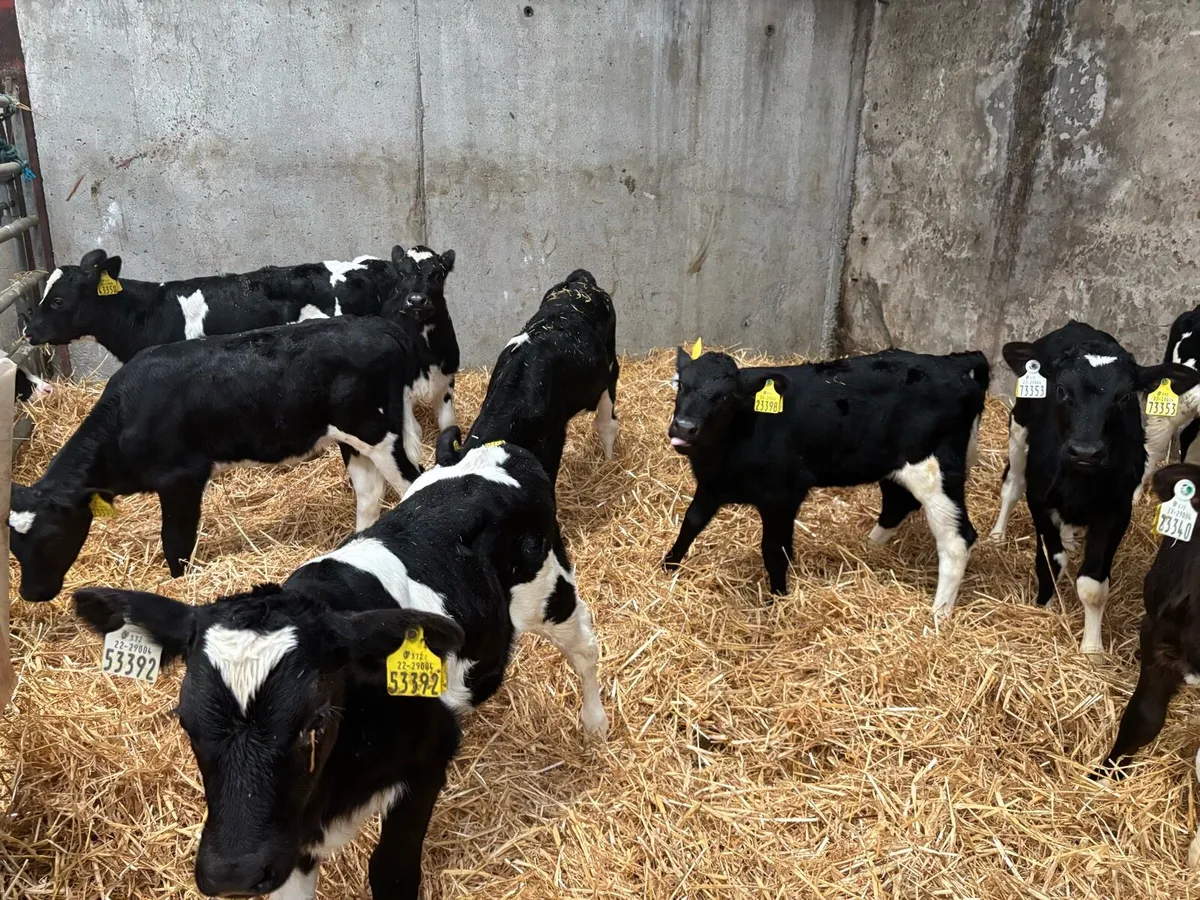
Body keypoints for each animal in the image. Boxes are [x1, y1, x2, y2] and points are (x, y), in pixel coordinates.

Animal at [9, 316, 427, 602]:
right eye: (12, 544)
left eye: (51, 536)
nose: (30, 593)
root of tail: (379, 325)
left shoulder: (181, 478)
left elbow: (176, 541)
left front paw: (179, 585)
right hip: (352, 438)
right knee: (369, 492)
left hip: (378, 432)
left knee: (414, 480)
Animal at [72, 438, 607, 899]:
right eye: (186, 723)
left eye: (315, 722)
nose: (233, 874)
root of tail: (497, 448)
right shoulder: (287, 841)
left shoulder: (428, 760)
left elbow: (391, 872)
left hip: (552, 593)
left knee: (585, 647)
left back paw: (595, 723)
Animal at [663, 346, 989, 620]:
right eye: (682, 385)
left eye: (726, 396)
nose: (685, 428)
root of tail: (952, 363)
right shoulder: (712, 486)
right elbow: (691, 523)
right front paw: (668, 566)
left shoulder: (783, 495)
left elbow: (774, 549)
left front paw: (777, 600)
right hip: (892, 466)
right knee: (897, 505)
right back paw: (867, 550)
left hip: (935, 472)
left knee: (957, 539)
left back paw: (939, 614)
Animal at [994, 321, 1198, 653]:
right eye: (1061, 389)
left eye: (1125, 396)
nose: (1085, 451)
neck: (1080, 480)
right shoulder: (1039, 501)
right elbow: (1051, 560)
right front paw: (1044, 606)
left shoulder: (1116, 512)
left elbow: (1092, 585)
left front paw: (1092, 649)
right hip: (1018, 430)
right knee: (1012, 485)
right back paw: (997, 535)